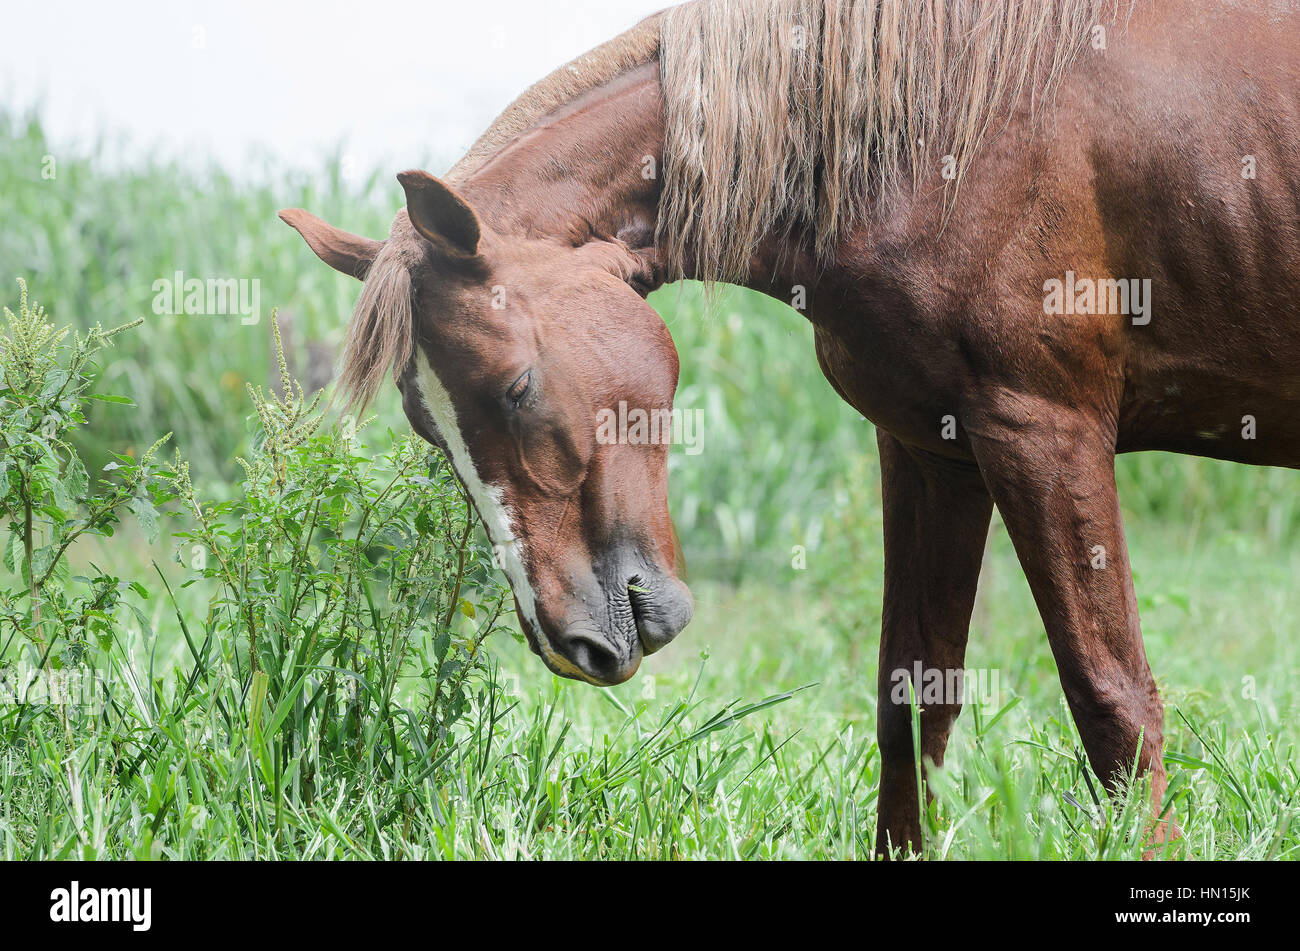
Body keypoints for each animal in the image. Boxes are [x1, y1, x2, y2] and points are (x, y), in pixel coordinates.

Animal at [279, 0, 1300, 856]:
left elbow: (1112, 703)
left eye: (517, 387)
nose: (573, 641)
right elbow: (912, 700)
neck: (943, 132)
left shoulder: (1045, 431)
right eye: (425, 424)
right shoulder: (933, 451)